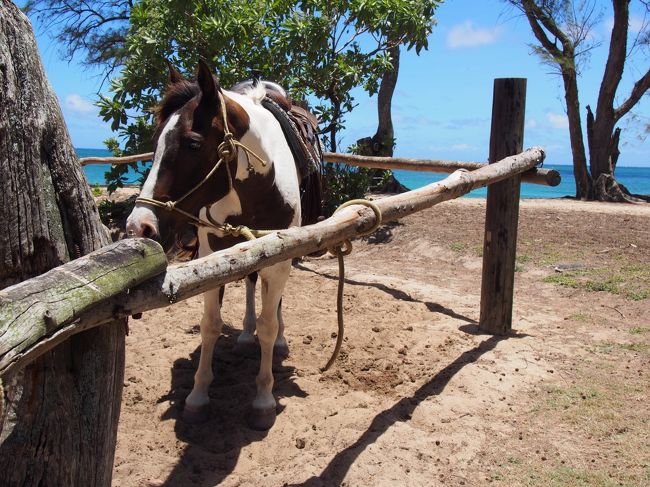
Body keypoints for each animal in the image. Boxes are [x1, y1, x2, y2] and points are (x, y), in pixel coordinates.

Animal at [124, 61, 322, 430]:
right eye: (155, 142)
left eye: (192, 143)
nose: (139, 227)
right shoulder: (211, 255)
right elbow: (210, 325)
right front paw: (198, 396)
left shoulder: (279, 258)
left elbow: (269, 324)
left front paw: (263, 399)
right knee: (250, 282)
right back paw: (244, 335)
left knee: (272, 303)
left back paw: (278, 342)